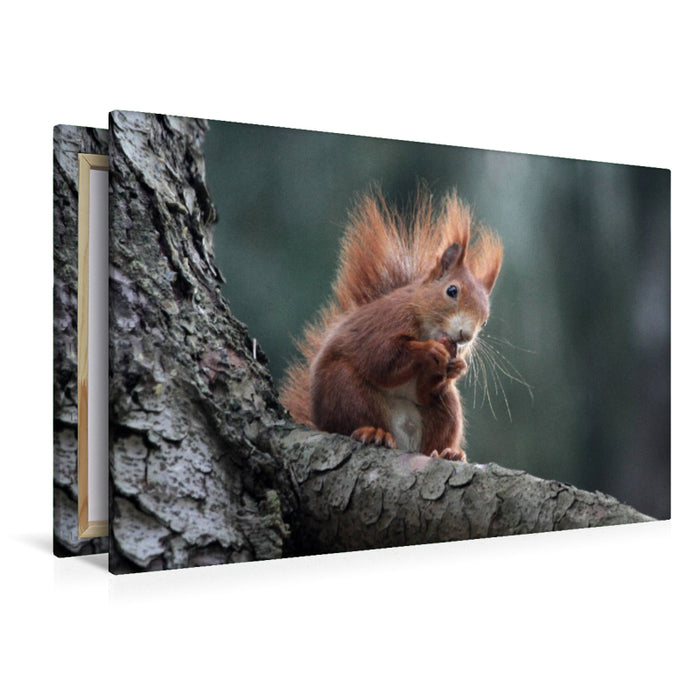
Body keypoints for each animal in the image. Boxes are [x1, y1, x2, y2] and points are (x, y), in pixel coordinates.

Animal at [279, 188, 503, 462]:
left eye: (485, 321)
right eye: (452, 291)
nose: (465, 336)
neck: (426, 324)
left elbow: (424, 392)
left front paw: (457, 367)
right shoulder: (386, 322)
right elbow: (382, 357)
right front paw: (428, 350)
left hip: (447, 409)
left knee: (436, 426)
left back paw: (446, 453)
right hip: (344, 389)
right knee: (351, 418)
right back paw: (373, 432)